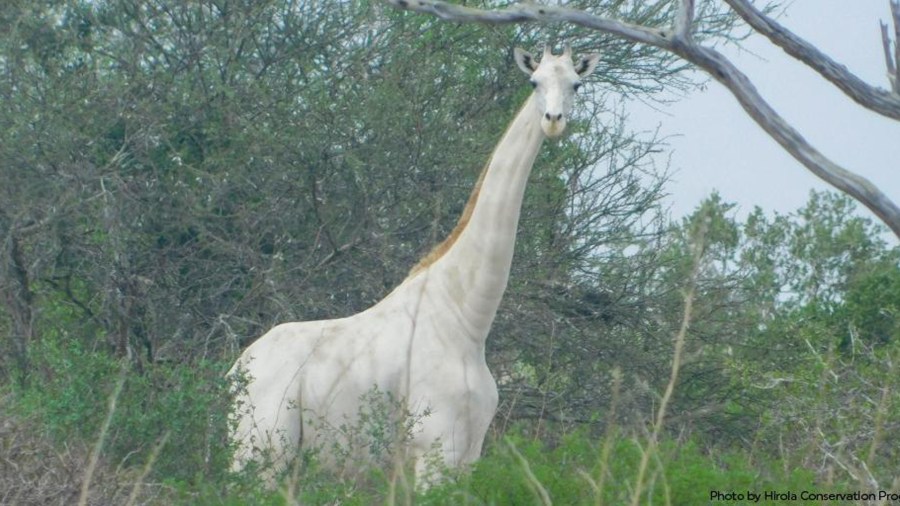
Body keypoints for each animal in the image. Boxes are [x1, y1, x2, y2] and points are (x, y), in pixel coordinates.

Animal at [229, 46, 600, 482]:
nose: (553, 122)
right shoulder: (435, 451)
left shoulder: (467, 455)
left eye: (576, 84)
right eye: (534, 81)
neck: (467, 320)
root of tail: (233, 373)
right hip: (262, 452)